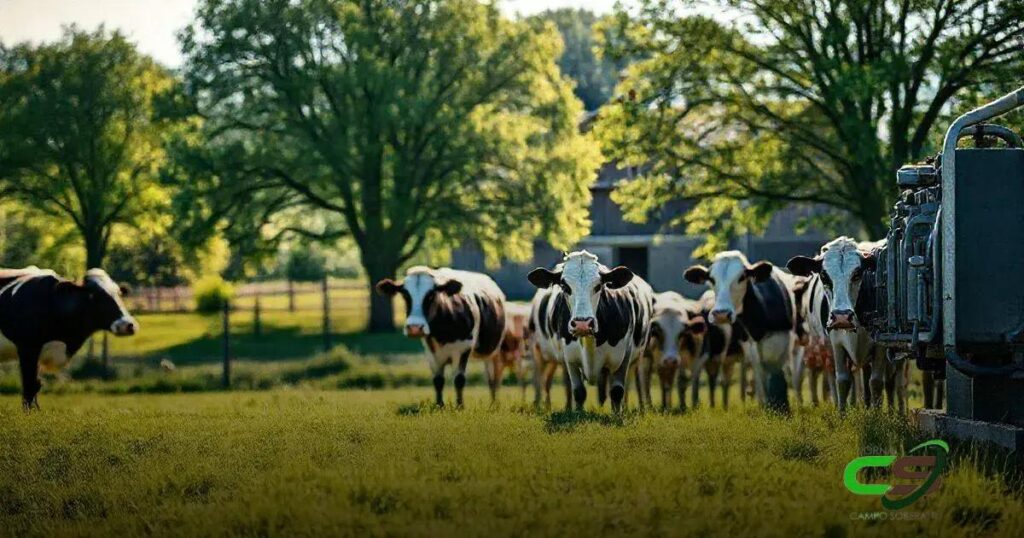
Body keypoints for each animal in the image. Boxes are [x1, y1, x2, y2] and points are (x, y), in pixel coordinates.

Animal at [0, 267, 139, 410]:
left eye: (119, 294)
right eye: (93, 295)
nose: (128, 325)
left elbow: (36, 385)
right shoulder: (27, 348)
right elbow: (29, 385)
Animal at [376, 266, 506, 407]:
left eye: (431, 295)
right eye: (405, 294)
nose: (414, 327)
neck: (442, 334)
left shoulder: (463, 349)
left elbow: (459, 379)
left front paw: (460, 406)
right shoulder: (431, 352)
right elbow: (438, 380)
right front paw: (439, 405)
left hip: (493, 352)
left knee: (492, 378)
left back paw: (494, 403)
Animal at [527, 250, 654, 413]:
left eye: (599, 286)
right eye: (564, 286)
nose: (582, 324)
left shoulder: (624, 355)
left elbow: (617, 391)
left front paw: (618, 415)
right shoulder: (570, 358)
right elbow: (578, 391)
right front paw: (577, 414)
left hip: (636, 359)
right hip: (538, 351)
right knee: (543, 381)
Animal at [684, 251, 796, 412]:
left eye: (742, 277)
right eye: (711, 278)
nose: (721, 314)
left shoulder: (781, 346)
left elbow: (778, 380)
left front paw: (781, 408)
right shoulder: (752, 351)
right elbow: (762, 381)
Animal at [787, 237, 907, 413]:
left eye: (857, 273)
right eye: (824, 275)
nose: (842, 316)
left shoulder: (879, 346)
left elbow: (876, 382)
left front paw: (876, 415)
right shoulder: (836, 343)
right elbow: (843, 380)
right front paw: (842, 414)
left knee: (891, 381)